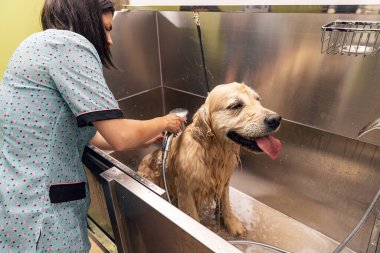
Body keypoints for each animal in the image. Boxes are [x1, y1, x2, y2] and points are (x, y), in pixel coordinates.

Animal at [138, 82, 280, 236]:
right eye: (235, 105)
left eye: (257, 99)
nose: (276, 119)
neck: (213, 153)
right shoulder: (185, 192)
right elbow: (193, 216)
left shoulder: (224, 182)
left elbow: (226, 205)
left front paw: (232, 224)